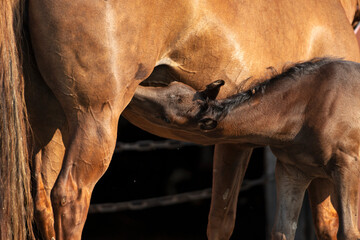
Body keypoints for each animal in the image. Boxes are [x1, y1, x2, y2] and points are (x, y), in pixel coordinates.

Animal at [129, 58, 360, 240]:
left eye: (166, 117)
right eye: (170, 85)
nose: (134, 91)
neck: (306, 109)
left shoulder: (347, 168)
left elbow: (348, 232)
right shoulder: (293, 170)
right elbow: (282, 231)